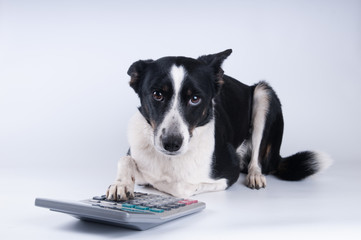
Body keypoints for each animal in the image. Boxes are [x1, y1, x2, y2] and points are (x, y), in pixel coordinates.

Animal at [103, 49, 330, 201]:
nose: (171, 144)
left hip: (264, 94)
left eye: (195, 99)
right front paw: (121, 184)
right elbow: (125, 160)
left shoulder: (227, 174)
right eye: (157, 94)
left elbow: (180, 187)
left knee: (257, 161)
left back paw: (255, 175)